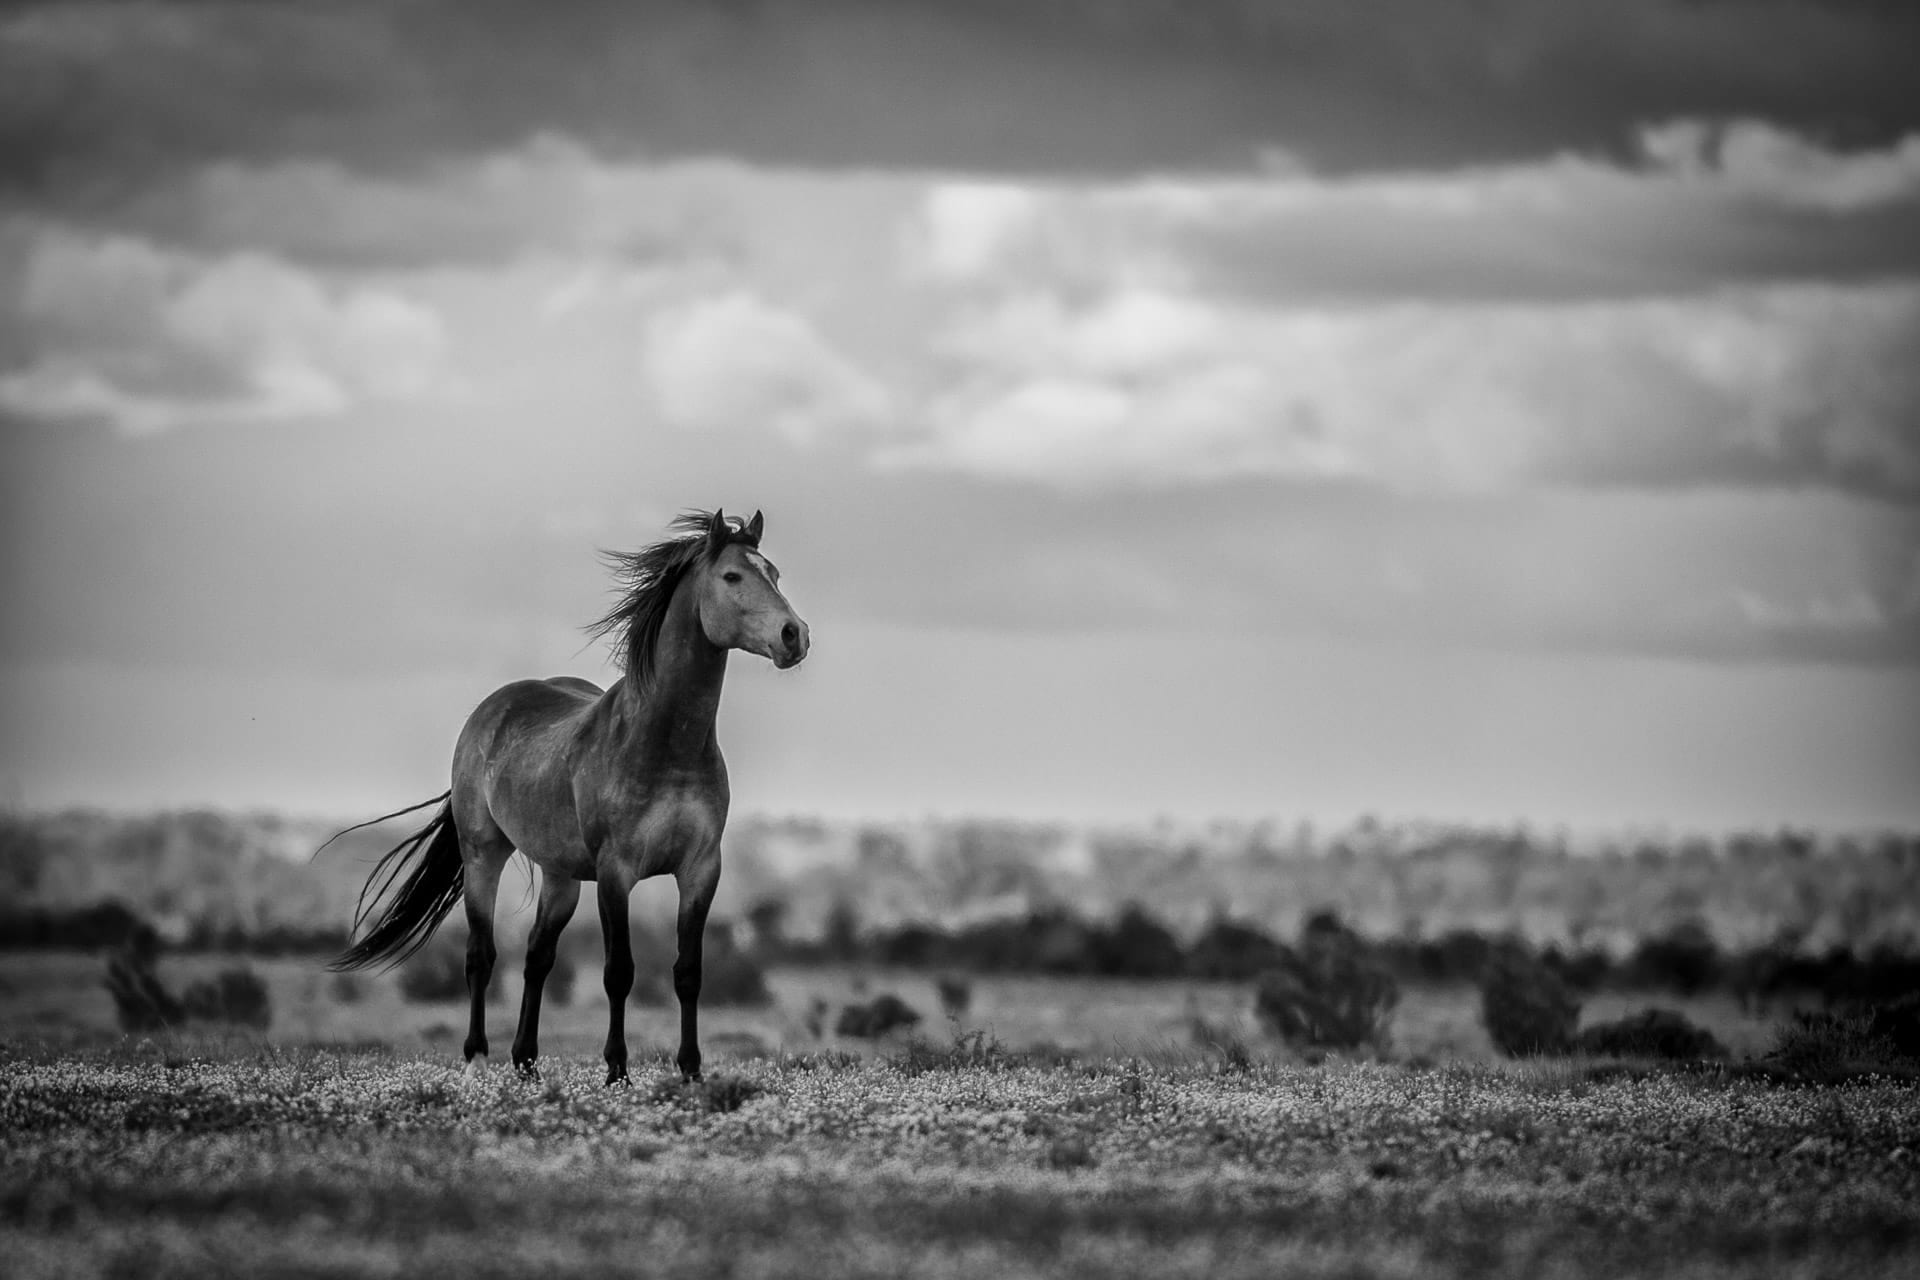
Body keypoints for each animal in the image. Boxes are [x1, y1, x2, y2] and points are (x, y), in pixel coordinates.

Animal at [325, 508, 808, 1084]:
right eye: (732, 576)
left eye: (774, 573)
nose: (794, 635)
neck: (664, 744)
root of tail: (490, 710)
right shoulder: (616, 873)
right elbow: (619, 972)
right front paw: (618, 1072)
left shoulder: (700, 869)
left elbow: (688, 972)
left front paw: (691, 1072)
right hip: (483, 855)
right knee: (480, 955)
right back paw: (477, 1058)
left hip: (561, 877)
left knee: (537, 957)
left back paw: (527, 1063)